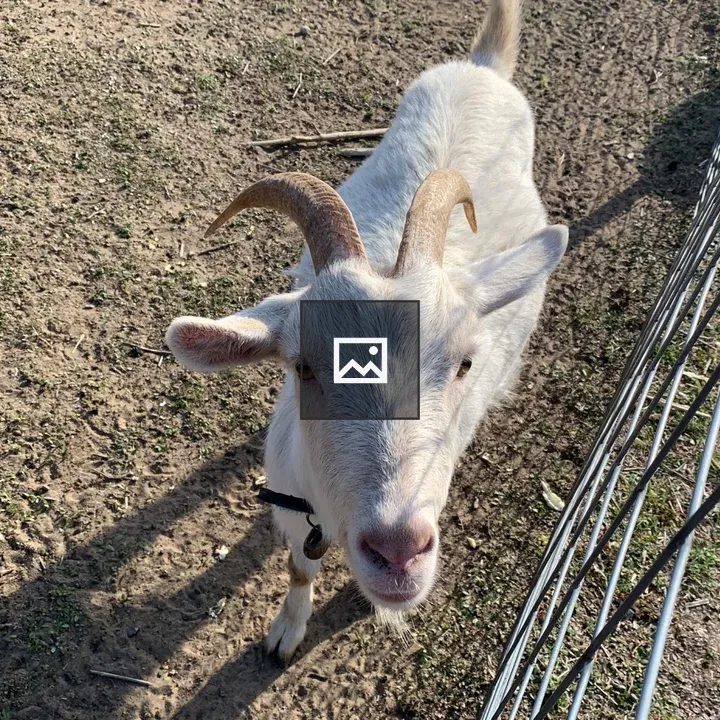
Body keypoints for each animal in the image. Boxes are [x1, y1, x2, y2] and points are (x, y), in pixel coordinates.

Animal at [166, 0, 568, 663]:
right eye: (303, 367)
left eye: (464, 363)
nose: (398, 551)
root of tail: (485, 67)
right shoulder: (292, 504)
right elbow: (299, 566)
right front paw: (286, 630)